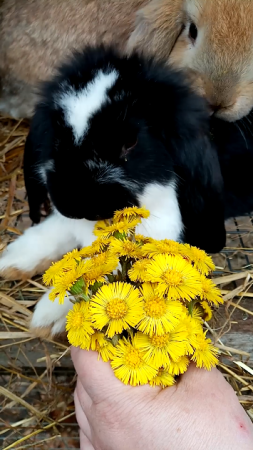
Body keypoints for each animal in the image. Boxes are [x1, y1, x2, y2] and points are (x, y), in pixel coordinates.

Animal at [0, 46, 225, 338]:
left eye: (130, 142)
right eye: (58, 135)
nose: (72, 204)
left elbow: (104, 266)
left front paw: (52, 318)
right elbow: (59, 232)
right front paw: (12, 260)